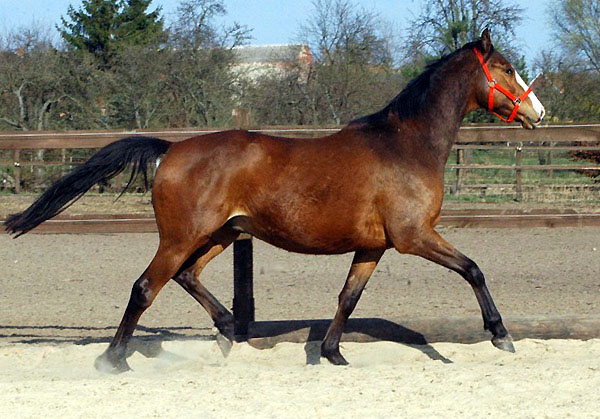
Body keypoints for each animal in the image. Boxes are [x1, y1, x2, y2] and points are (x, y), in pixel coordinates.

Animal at [5, 30, 548, 374]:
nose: (539, 113)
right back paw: (113, 360)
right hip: (182, 235)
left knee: (186, 277)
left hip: (222, 233)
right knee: (145, 287)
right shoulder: (414, 237)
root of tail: (171, 149)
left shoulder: (374, 246)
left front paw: (332, 354)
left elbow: (348, 297)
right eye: (507, 68)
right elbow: (473, 269)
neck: (406, 144)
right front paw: (501, 335)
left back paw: (229, 330)